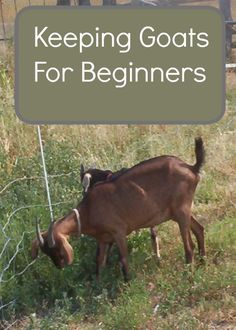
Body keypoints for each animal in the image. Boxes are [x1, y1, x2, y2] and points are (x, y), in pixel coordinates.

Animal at [31, 138, 205, 280]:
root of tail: (191, 168)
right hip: (180, 211)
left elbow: (123, 259)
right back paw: (202, 262)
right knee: (199, 229)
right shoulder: (102, 239)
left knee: (189, 246)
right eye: (45, 252)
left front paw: (128, 283)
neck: (89, 209)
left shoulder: (119, 232)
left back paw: (189, 274)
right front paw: (98, 287)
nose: (59, 266)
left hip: (181, 211)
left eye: (56, 248)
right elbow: (99, 263)